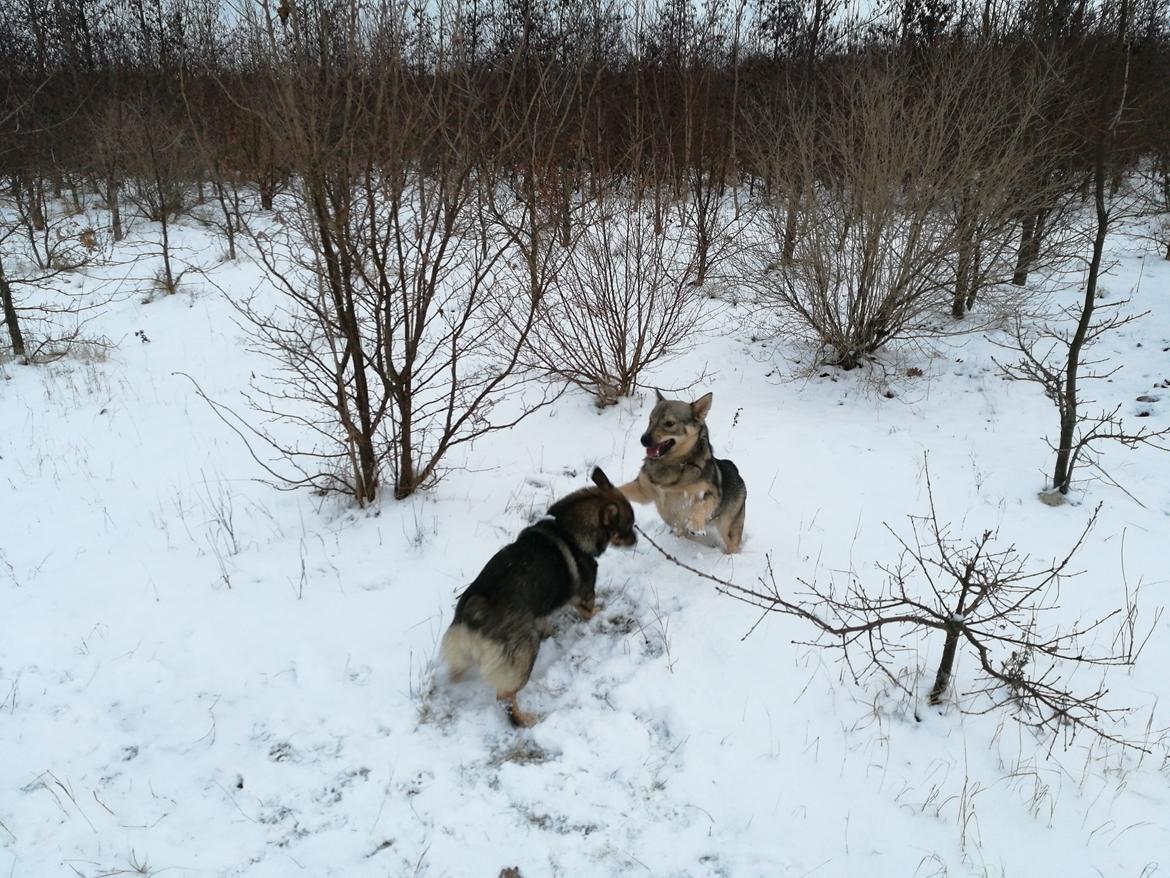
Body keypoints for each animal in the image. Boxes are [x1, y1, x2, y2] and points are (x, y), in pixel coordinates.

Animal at [439, 468, 641, 730]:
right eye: (628, 527)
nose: (636, 539)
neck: (567, 529)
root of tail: (474, 614)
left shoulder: (543, 610)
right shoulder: (585, 598)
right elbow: (593, 611)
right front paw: (604, 614)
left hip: (462, 654)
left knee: (458, 671)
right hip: (524, 656)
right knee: (505, 697)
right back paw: (523, 719)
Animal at [622, 393, 748, 557]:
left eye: (669, 423)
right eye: (650, 420)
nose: (643, 440)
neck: (673, 464)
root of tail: (734, 469)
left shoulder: (711, 495)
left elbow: (700, 506)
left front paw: (696, 526)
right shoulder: (644, 490)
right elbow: (621, 489)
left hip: (729, 529)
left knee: (733, 546)